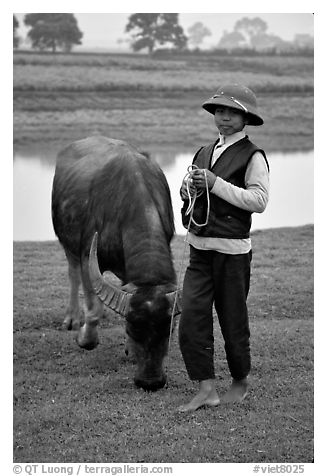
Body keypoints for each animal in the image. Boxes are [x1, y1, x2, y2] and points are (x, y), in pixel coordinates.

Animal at [51, 136, 182, 388]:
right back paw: (72, 318)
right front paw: (85, 338)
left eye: (168, 331)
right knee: (73, 274)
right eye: (133, 329)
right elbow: (92, 309)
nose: (150, 382)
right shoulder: (87, 255)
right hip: (67, 242)